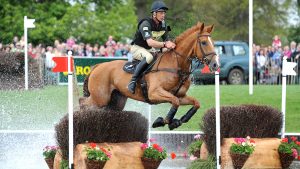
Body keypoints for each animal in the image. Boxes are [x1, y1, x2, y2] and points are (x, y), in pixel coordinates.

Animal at [79, 22, 220, 129]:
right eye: (204, 42)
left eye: (213, 42)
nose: (215, 65)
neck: (176, 64)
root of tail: (98, 66)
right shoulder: (155, 93)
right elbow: (174, 103)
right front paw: (162, 121)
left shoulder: (180, 96)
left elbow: (195, 103)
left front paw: (180, 120)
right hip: (100, 98)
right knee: (83, 103)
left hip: (116, 100)